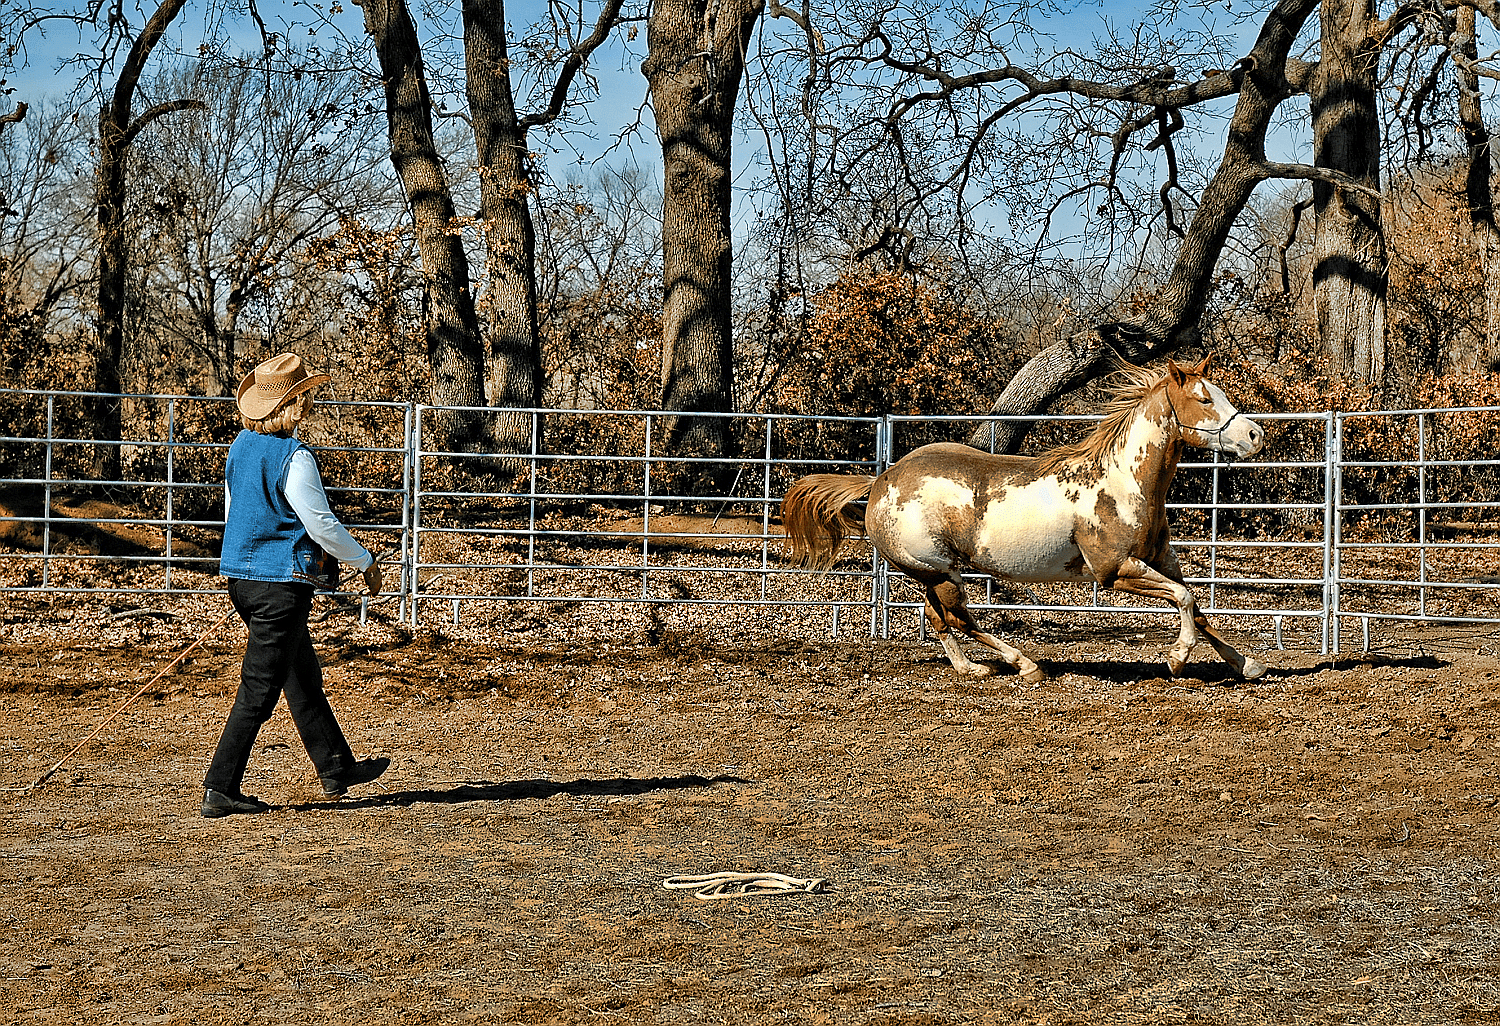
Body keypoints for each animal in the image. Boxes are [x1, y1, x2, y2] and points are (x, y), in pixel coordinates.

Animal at [786, 357, 1266, 684]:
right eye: (1203, 398)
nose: (1255, 435)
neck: (1122, 480)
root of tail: (882, 479)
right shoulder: (1114, 570)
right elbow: (1184, 600)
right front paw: (1177, 658)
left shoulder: (1162, 559)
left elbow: (1197, 606)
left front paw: (1247, 664)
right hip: (938, 569)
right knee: (960, 619)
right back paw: (1025, 664)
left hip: (929, 573)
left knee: (940, 620)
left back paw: (971, 668)